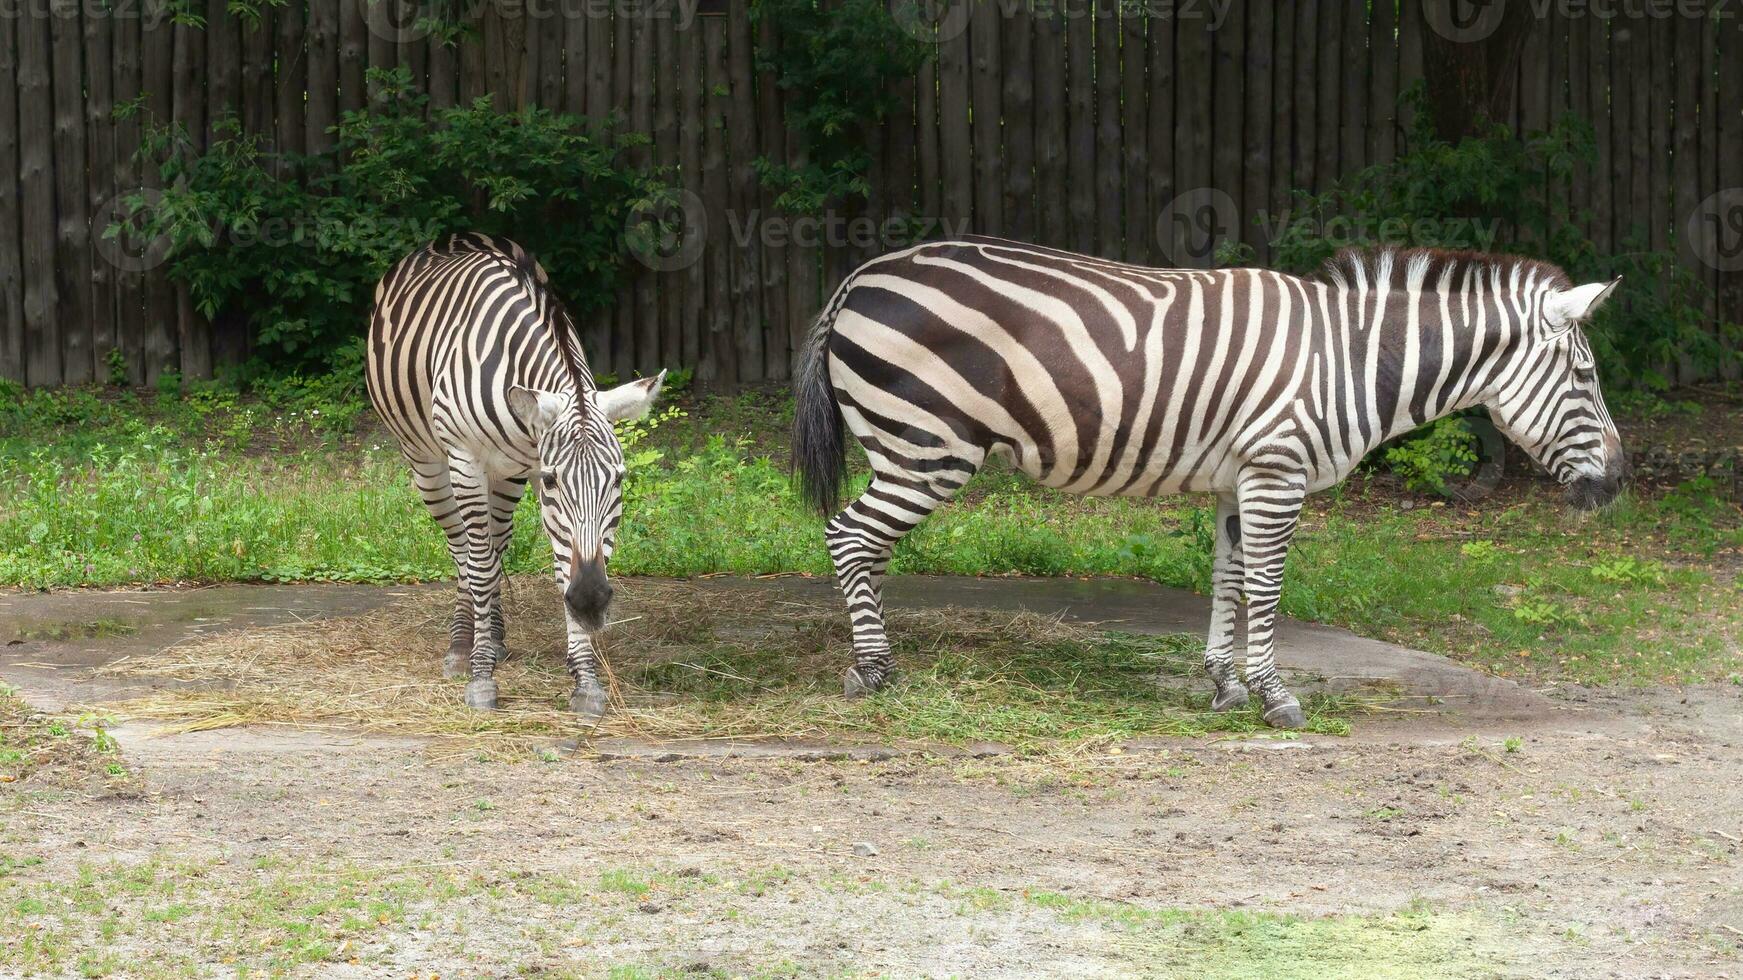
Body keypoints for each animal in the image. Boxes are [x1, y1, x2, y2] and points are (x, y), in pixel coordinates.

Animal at [367, 231, 665, 714]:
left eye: (619, 479)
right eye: (553, 480)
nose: (591, 602)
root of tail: (453, 238)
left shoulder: (527, 466)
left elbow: (559, 565)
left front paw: (585, 679)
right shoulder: (470, 460)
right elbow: (480, 565)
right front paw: (481, 676)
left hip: (504, 476)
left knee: (495, 543)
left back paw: (494, 635)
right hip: (427, 460)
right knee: (464, 550)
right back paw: (463, 645)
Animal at [798, 237, 1624, 725]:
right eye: (1585, 378)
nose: (1616, 483)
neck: (1350, 362)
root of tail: (858, 278)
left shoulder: (1238, 479)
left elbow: (1228, 579)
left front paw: (1225, 683)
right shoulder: (1276, 470)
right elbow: (1266, 584)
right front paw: (1275, 695)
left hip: (904, 451)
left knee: (865, 545)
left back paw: (880, 659)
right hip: (927, 447)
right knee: (847, 536)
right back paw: (870, 669)